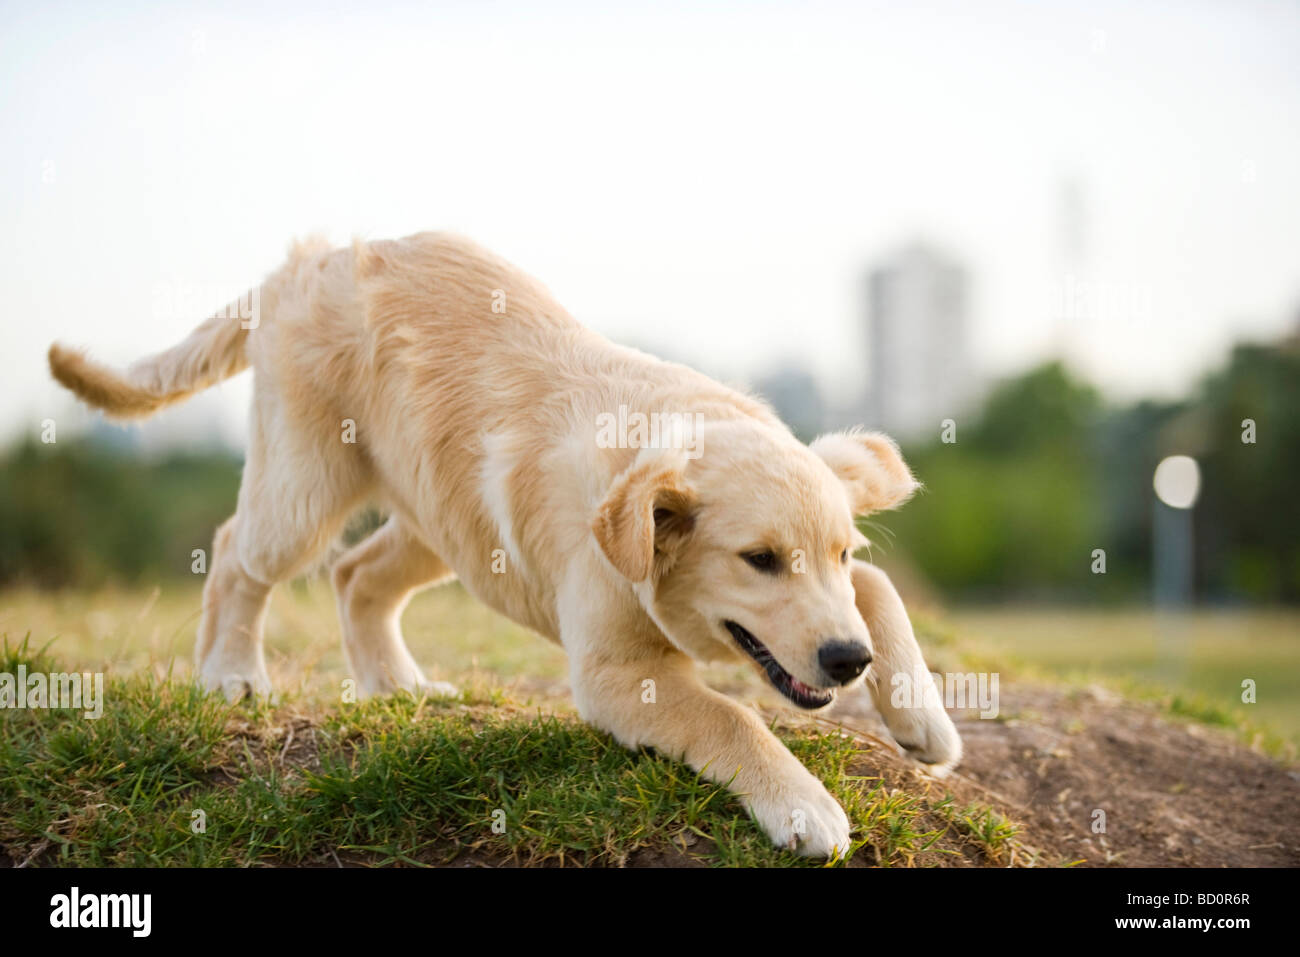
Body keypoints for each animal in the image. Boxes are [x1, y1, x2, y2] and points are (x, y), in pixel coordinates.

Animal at [48, 234, 967, 858]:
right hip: (305, 486)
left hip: (442, 521)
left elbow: (881, 589)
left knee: (355, 574)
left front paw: (922, 717)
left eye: (837, 552)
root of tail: (312, 256)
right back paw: (231, 672)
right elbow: (732, 716)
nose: (847, 661)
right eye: (759, 560)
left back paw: (397, 686)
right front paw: (803, 806)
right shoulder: (615, 674)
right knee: (237, 552)